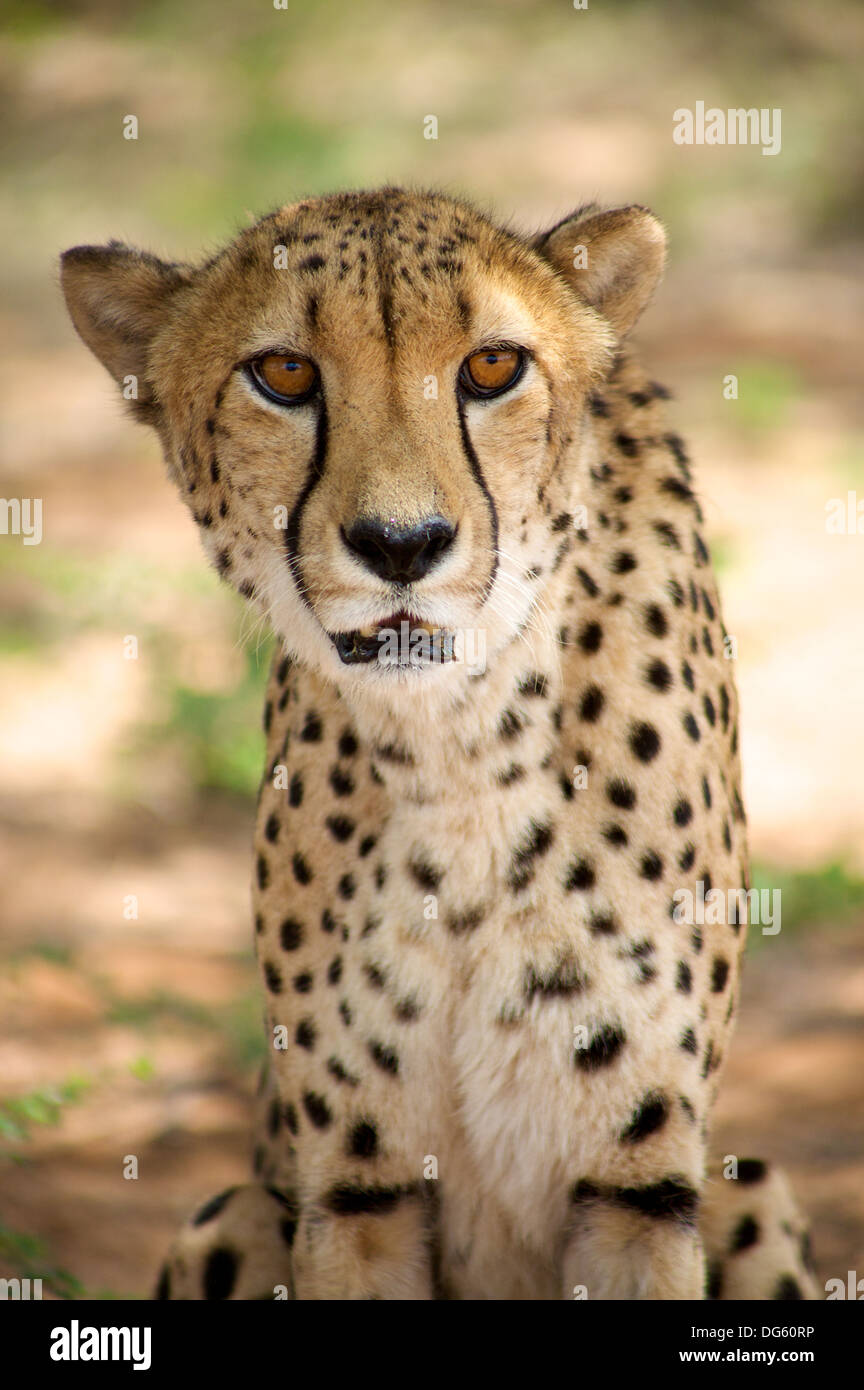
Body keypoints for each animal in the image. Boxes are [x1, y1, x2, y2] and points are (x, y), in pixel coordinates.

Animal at [61, 190, 816, 1295]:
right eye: (284, 373)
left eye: (493, 366)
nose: (402, 544)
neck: (459, 745)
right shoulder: (355, 1191)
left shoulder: (637, 1187)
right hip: (233, 1210)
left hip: (748, 1191)